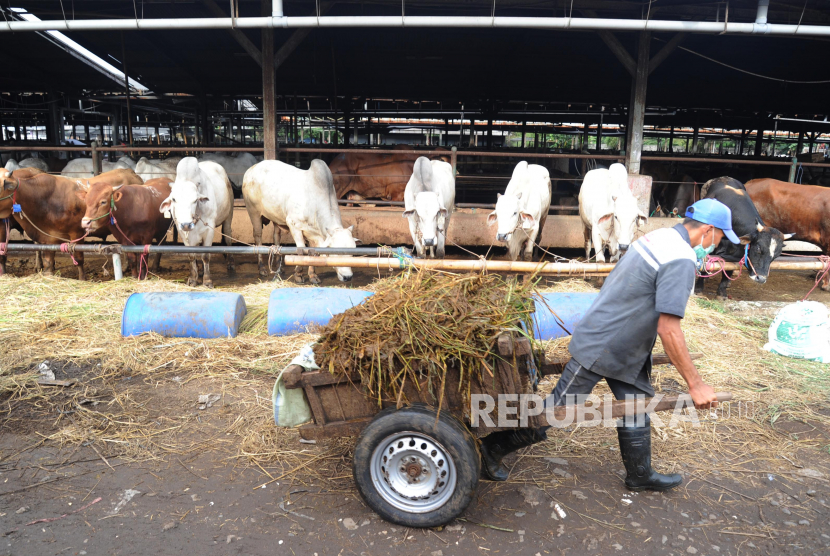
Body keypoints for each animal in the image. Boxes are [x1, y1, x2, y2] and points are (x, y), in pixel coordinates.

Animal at [161, 156, 236, 286]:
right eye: (174, 199)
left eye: (195, 200)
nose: (186, 225)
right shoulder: (183, 232)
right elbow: (192, 256)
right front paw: (192, 278)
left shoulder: (209, 230)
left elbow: (205, 256)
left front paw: (207, 280)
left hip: (228, 216)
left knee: (228, 237)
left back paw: (230, 263)